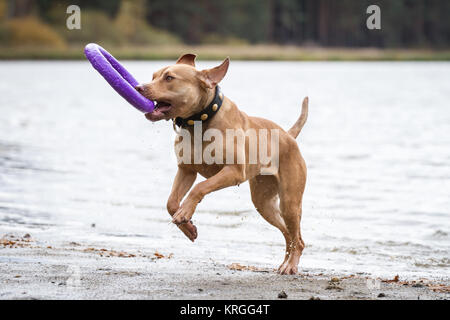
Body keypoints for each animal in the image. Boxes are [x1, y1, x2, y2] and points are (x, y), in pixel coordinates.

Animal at [135, 53, 308, 274]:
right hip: (263, 202)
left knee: (298, 238)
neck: (198, 121)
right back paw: (285, 263)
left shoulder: (233, 172)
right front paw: (187, 226)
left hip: (289, 202)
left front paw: (185, 212)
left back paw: (291, 265)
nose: (138, 87)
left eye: (169, 78)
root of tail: (288, 136)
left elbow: (200, 187)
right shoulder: (186, 170)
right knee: (287, 234)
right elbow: (171, 202)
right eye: (153, 76)